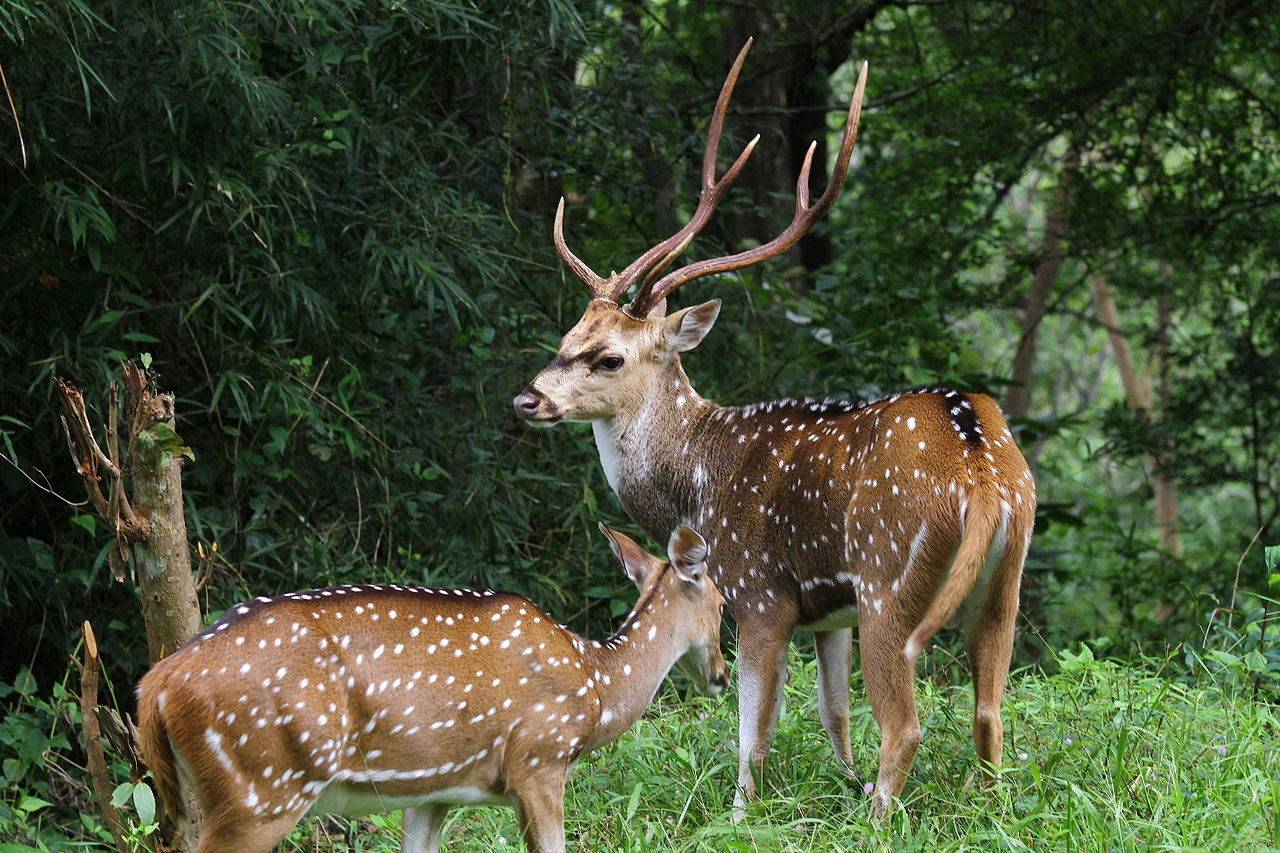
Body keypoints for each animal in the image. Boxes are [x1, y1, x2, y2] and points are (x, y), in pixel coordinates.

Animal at [137, 522, 732, 845]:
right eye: (724, 602)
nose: (723, 676)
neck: (597, 687)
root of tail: (156, 683)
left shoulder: (435, 791)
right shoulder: (539, 761)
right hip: (261, 786)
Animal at [512, 38, 1039, 809]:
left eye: (608, 357)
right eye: (564, 336)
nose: (527, 401)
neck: (695, 483)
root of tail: (983, 472)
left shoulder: (760, 594)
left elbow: (752, 729)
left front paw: (740, 812)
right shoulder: (829, 614)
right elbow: (832, 711)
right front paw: (840, 782)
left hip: (888, 576)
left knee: (906, 725)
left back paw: (879, 819)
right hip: (1005, 581)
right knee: (990, 710)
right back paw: (984, 804)